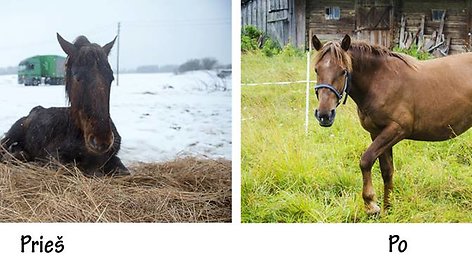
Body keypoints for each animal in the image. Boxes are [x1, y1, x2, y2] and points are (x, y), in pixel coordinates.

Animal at [0, 33, 129, 176]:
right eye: (77, 77)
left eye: (111, 77)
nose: (101, 140)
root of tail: (33, 111)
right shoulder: (53, 156)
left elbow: (123, 170)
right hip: (14, 131)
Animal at [314, 33, 472, 215]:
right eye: (316, 70)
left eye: (343, 71)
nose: (324, 115)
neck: (379, 81)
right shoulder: (376, 133)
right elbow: (387, 171)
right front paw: (387, 209)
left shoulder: (397, 130)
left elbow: (366, 160)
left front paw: (371, 204)